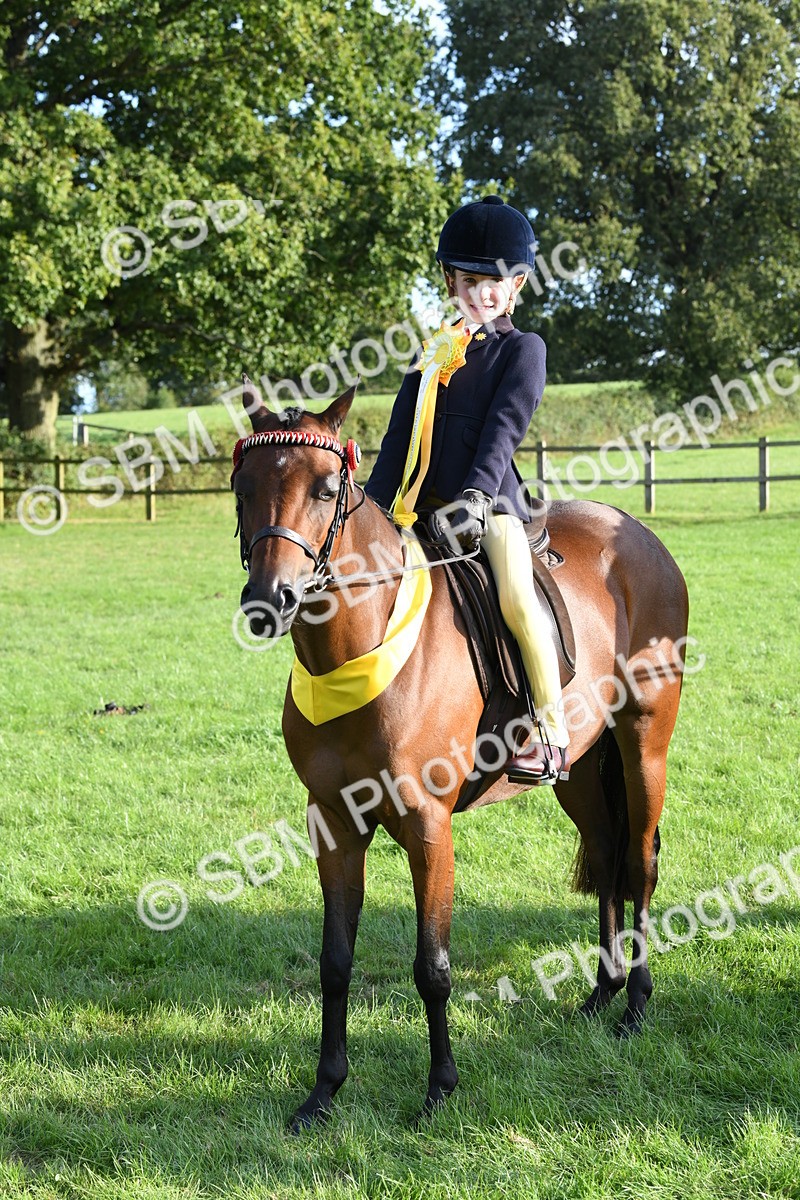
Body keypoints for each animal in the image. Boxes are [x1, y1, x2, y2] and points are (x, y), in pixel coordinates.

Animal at [231, 380, 689, 1130]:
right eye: (243, 488)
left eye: (326, 489)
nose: (271, 600)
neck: (363, 647)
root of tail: (636, 533)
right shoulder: (334, 825)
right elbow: (335, 961)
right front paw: (323, 1093)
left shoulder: (428, 826)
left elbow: (433, 964)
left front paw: (440, 1088)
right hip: (579, 769)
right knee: (605, 855)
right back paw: (602, 992)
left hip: (644, 740)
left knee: (639, 863)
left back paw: (636, 1006)